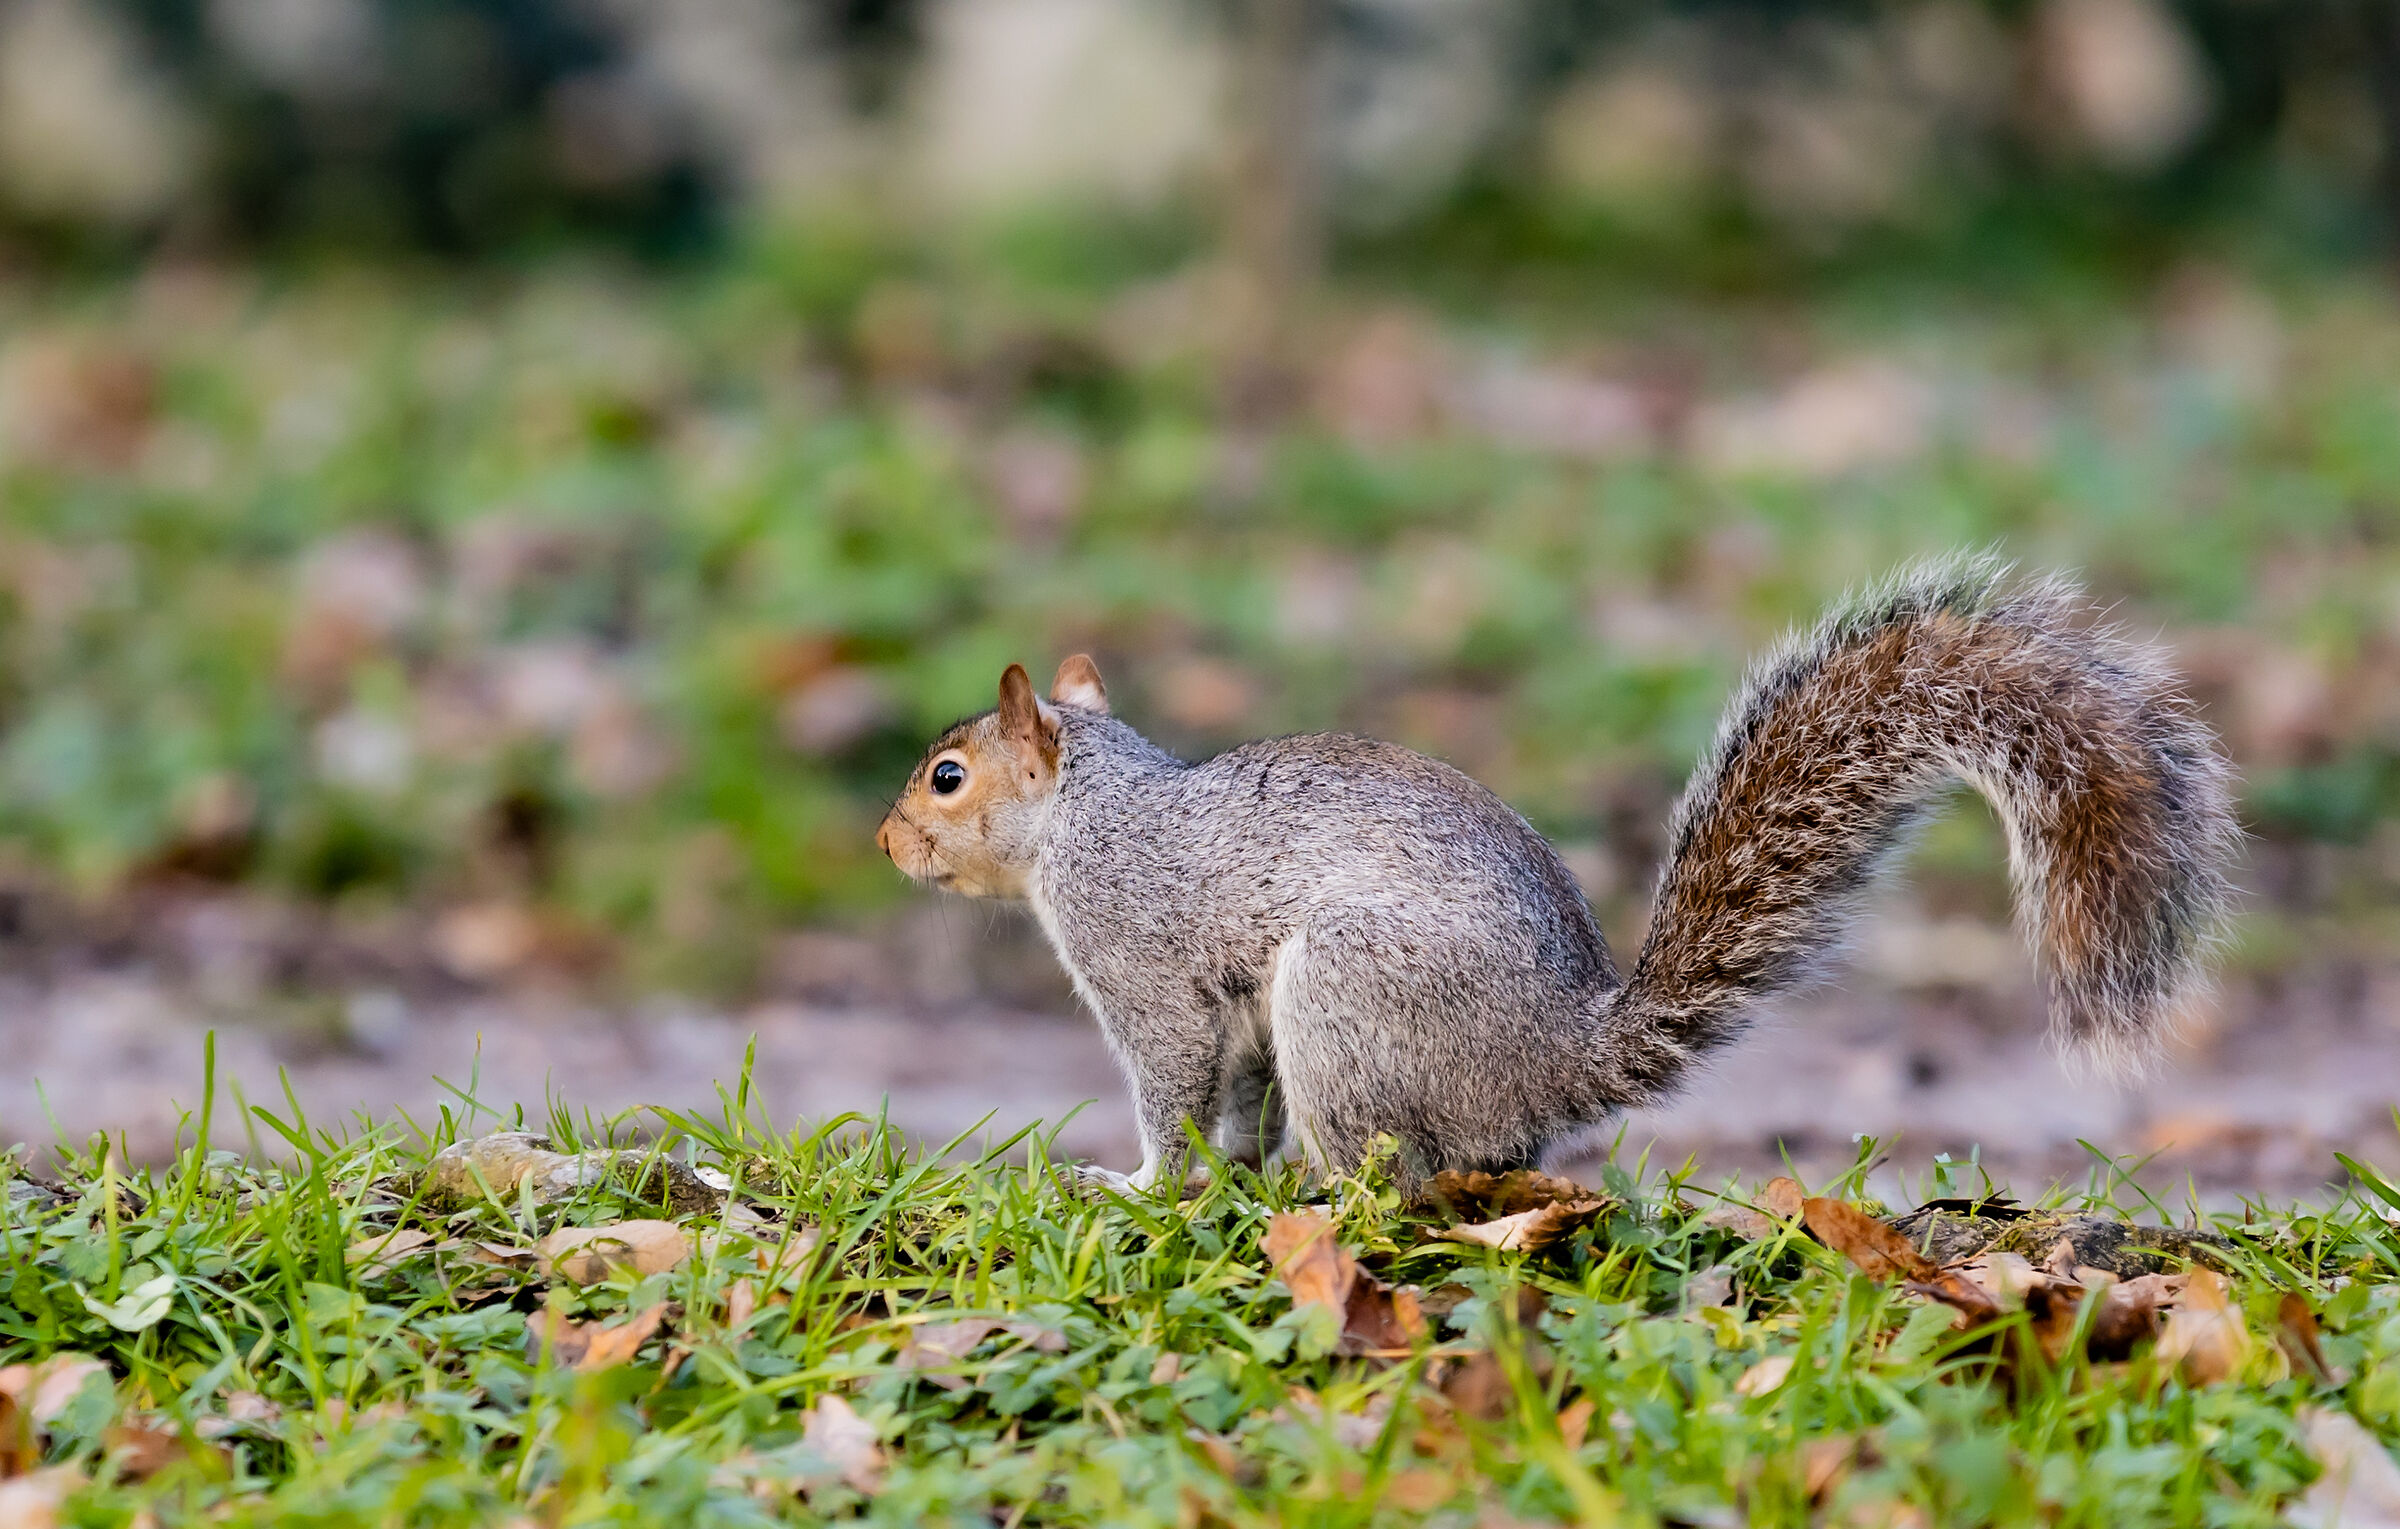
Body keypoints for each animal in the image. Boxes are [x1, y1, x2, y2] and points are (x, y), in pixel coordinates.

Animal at [876, 556, 2239, 1192]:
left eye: (946, 776)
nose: (886, 844)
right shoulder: (1232, 1013)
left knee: (1392, 1168)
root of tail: (1553, 1054)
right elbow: (1236, 1101)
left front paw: (1143, 1184)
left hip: (1346, 989)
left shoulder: (1143, 961)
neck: (1091, 812)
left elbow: (1170, 1082)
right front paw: (1223, 1174)